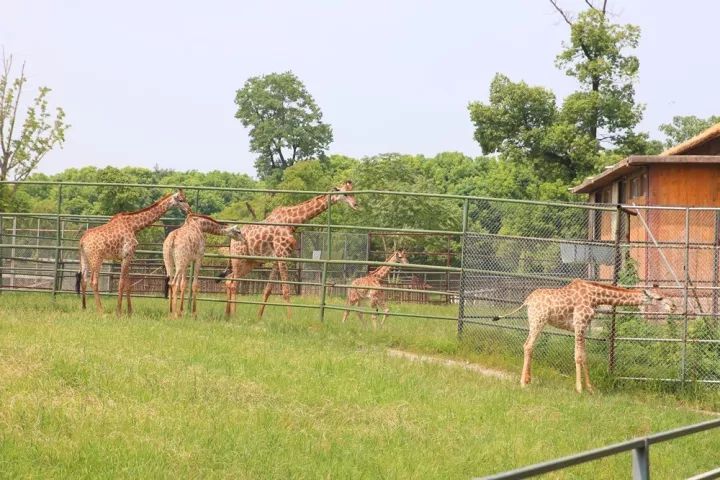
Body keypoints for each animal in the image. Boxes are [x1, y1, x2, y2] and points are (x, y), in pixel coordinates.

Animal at [222, 180, 358, 318]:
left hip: (251, 262)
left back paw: (227, 314)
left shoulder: (277, 257)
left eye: (353, 192)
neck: (292, 221)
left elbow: (268, 289)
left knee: (229, 280)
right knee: (234, 284)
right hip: (238, 258)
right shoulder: (283, 254)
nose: (356, 204)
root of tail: (231, 242)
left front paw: (259, 317)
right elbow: (286, 290)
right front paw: (290, 319)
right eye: (345, 193)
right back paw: (234, 315)